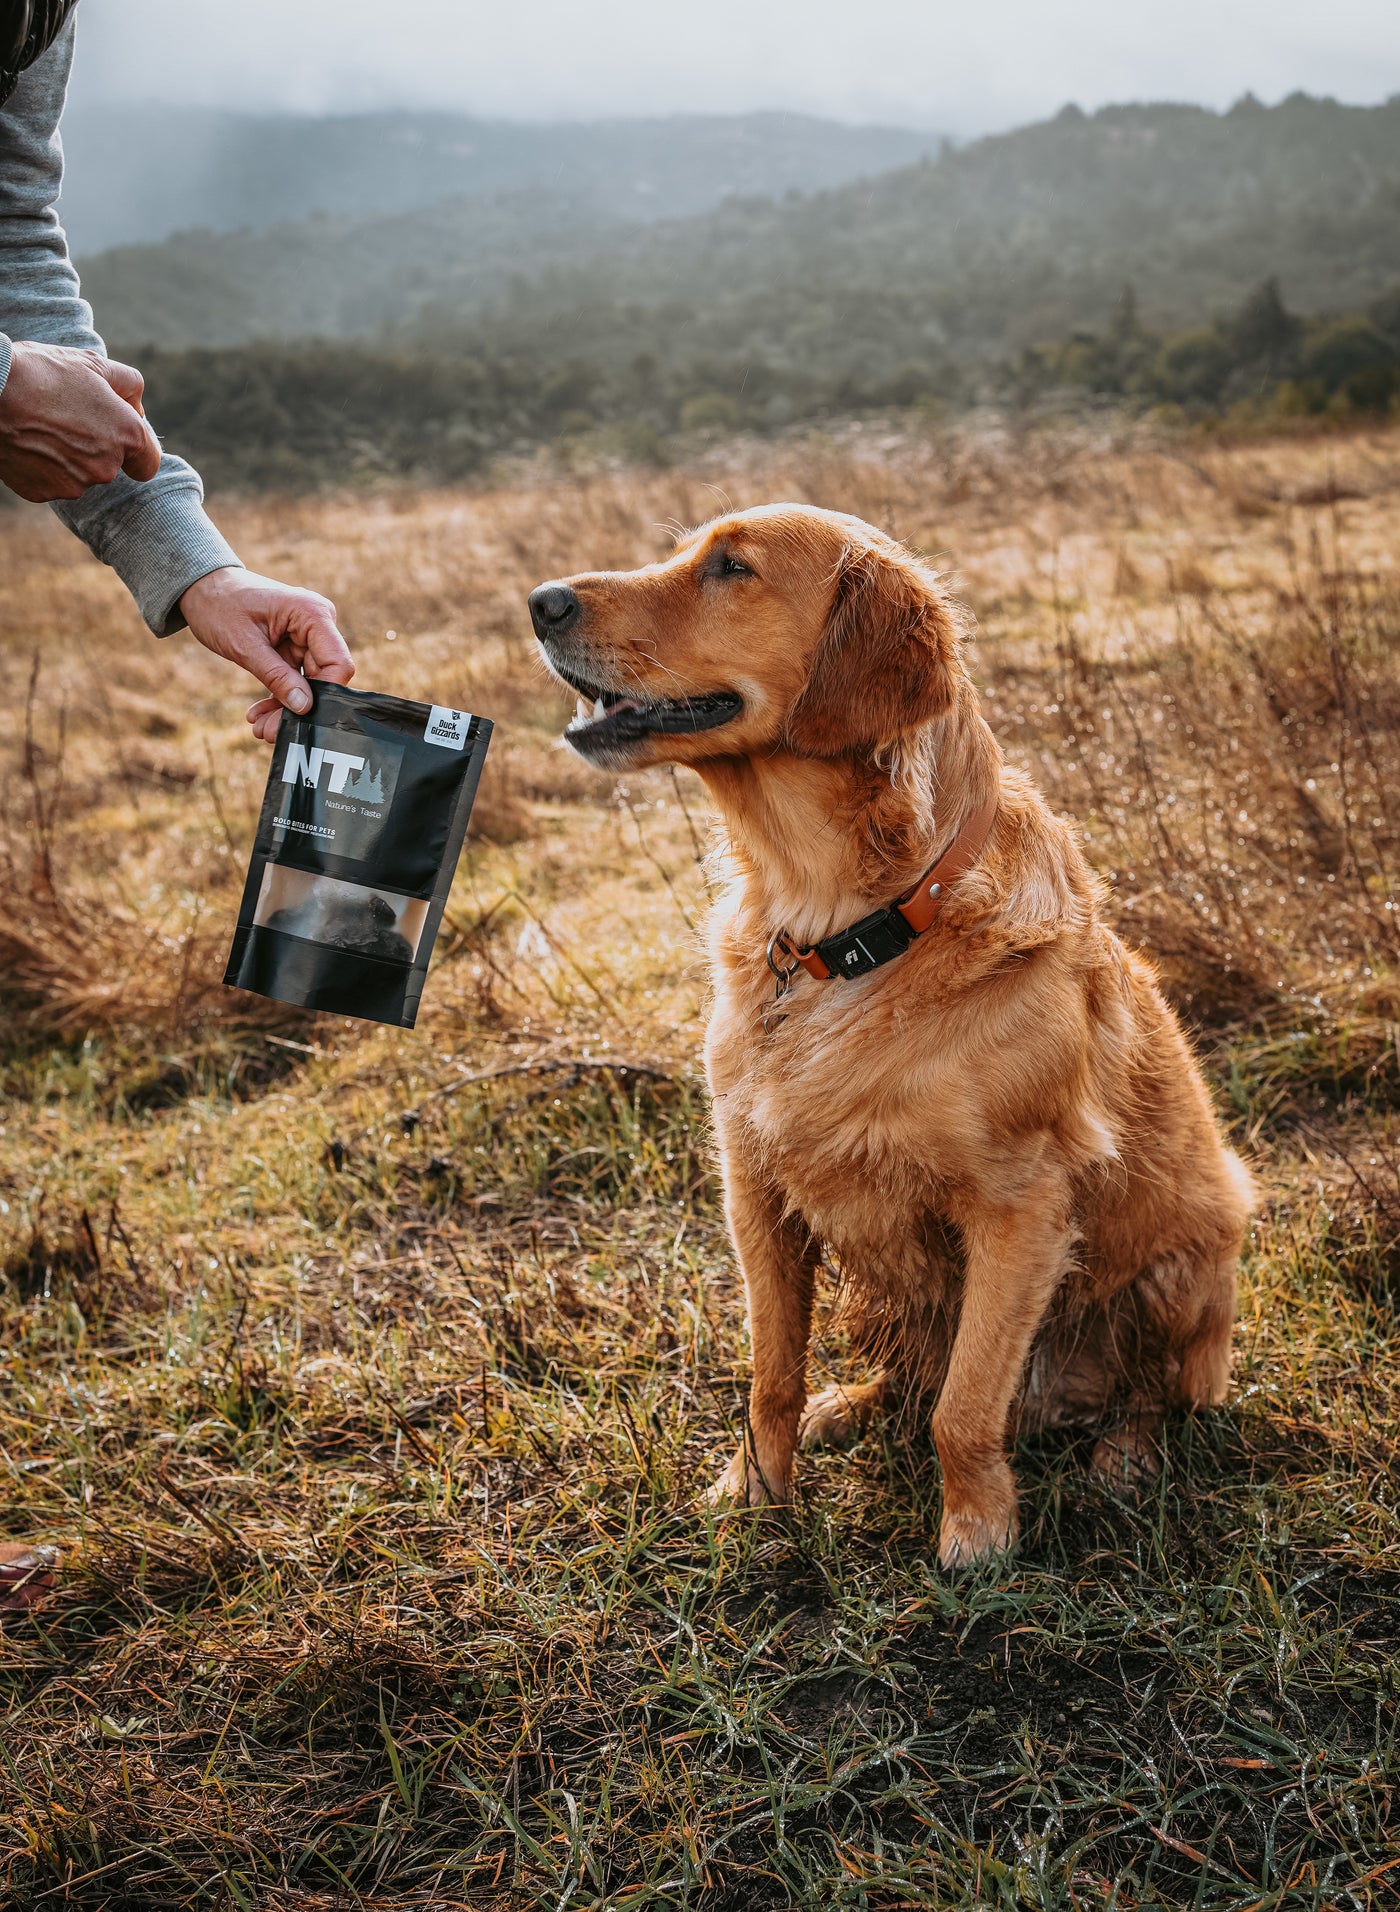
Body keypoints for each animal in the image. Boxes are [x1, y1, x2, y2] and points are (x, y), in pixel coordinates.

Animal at [527, 504, 1254, 1567]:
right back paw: (854, 1404)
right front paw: (758, 1490)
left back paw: (1123, 1456)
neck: (844, 931)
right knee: (912, 1369)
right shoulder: (756, 1189)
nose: (539, 601)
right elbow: (772, 1376)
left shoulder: (1019, 1209)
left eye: (731, 568)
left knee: (1148, 1390)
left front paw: (977, 1534)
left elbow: (965, 1407)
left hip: (1197, 1245)